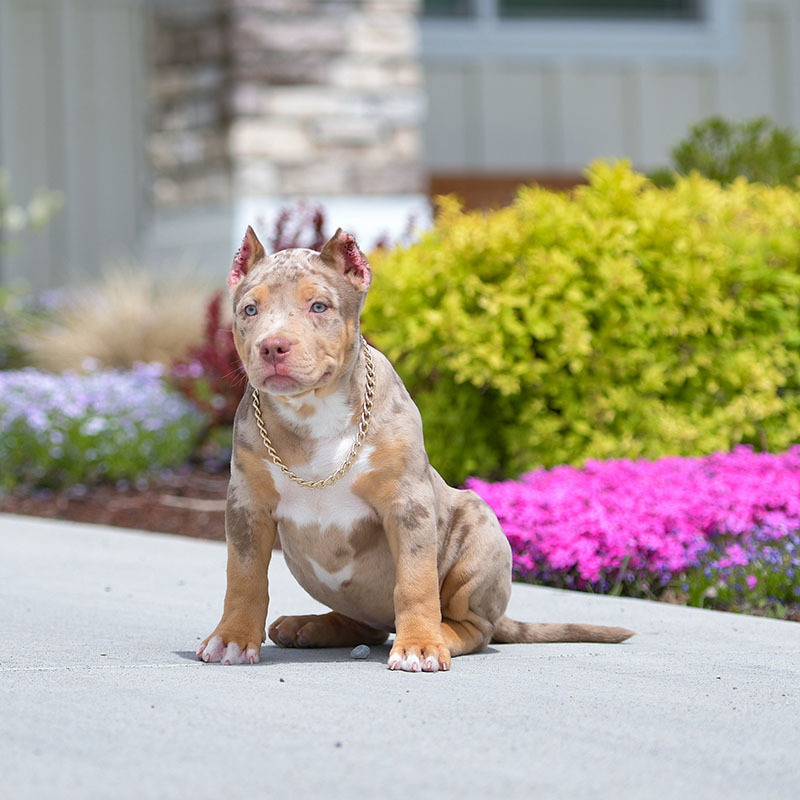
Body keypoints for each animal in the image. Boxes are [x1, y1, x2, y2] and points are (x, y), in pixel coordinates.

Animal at [197, 228, 636, 672]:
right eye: (250, 310)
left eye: (319, 306)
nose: (272, 347)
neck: (313, 412)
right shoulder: (246, 505)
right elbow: (244, 576)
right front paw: (232, 639)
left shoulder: (408, 504)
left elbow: (414, 581)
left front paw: (420, 646)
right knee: (367, 625)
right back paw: (312, 626)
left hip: (480, 534)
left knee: (473, 627)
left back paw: (439, 634)